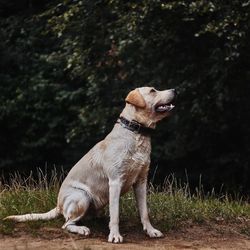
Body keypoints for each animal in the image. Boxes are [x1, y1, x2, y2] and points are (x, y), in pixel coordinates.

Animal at [4, 87, 176, 243]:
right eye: (153, 91)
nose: (174, 90)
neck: (135, 133)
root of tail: (58, 206)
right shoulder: (115, 182)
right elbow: (116, 215)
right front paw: (114, 235)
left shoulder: (141, 181)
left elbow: (144, 212)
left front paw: (151, 231)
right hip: (82, 196)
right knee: (66, 224)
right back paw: (82, 229)